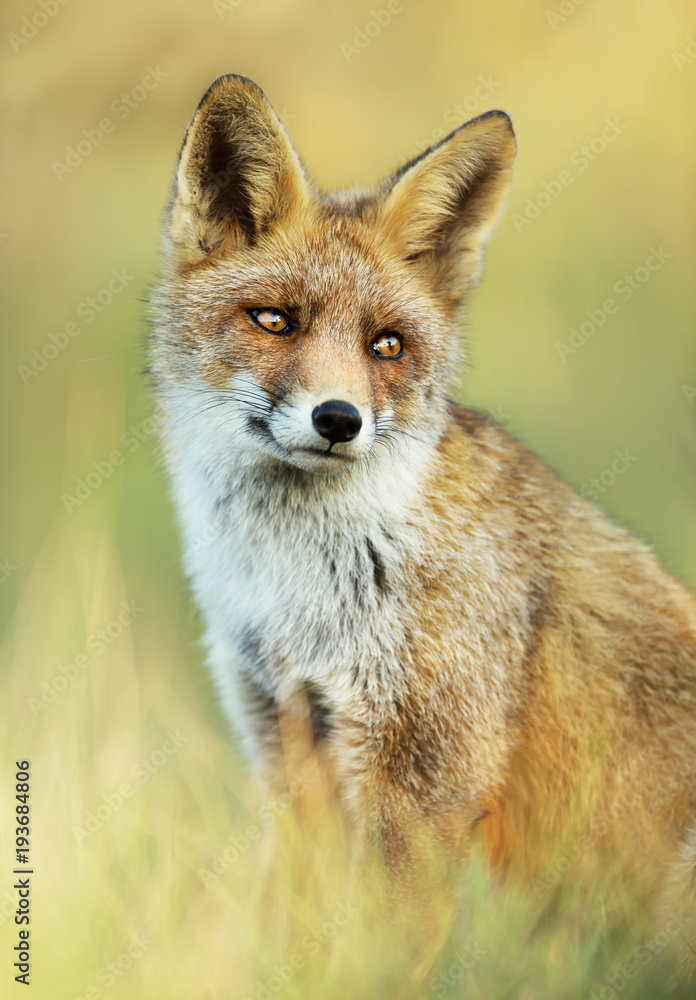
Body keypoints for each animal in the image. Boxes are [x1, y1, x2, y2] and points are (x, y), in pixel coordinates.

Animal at [151, 74, 696, 928]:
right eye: (274, 320)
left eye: (387, 346)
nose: (338, 419)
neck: (297, 594)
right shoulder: (285, 741)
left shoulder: (424, 778)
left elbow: (385, 941)